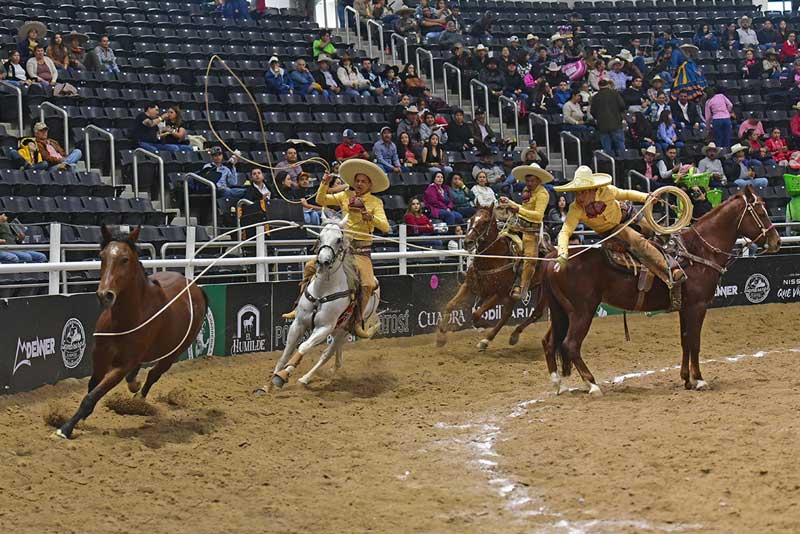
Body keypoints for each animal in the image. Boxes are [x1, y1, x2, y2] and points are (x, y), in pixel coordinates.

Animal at [56, 226, 206, 440]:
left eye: (125, 259)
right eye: (102, 256)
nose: (104, 295)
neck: (125, 318)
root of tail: (195, 288)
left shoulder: (122, 365)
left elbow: (93, 395)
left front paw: (65, 429)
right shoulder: (100, 356)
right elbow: (92, 387)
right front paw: (80, 420)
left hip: (173, 352)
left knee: (153, 374)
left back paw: (138, 400)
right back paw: (134, 384)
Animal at [268, 213, 382, 390]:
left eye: (339, 239)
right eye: (320, 237)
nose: (323, 262)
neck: (322, 291)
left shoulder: (324, 327)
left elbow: (303, 347)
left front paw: (282, 376)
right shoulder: (298, 323)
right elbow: (286, 353)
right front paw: (267, 385)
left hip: (344, 329)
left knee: (327, 354)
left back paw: (306, 378)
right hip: (337, 329)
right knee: (335, 351)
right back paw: (336, 367)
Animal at [438, 205, 544, 352]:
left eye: (485, 222)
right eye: (472, 219)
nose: (467, 242)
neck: (494, 258)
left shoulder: (500, 293)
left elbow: (476, 314)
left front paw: (482, 324)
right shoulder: (468, 285)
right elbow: (450, 305)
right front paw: (441, 337)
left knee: (532, 313)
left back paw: (501, 337)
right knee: (511, 314)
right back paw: (501, 338)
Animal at [540, 186, 780, 396]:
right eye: (761, 212)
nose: (776, 241)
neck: (699, 252)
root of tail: (555, 258)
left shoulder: (685, 307)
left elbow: (685, 341)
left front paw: (686, 379)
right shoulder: (698, 306)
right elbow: (695, 342)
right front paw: (700, 380)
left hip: (560, 311)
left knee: (549, 342)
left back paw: (560, 385)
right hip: (582, 311)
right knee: (570, 344)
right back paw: (592, 385)